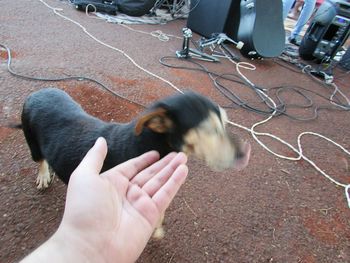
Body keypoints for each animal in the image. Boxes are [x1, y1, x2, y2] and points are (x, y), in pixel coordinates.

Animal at [17, 88, 252, 239]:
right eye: (209, 130)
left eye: (225, 123)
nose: (245, 153)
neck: (151, 144)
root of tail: (37, 93)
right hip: (32, 141)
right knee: (40, 159)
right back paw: (44, 175)